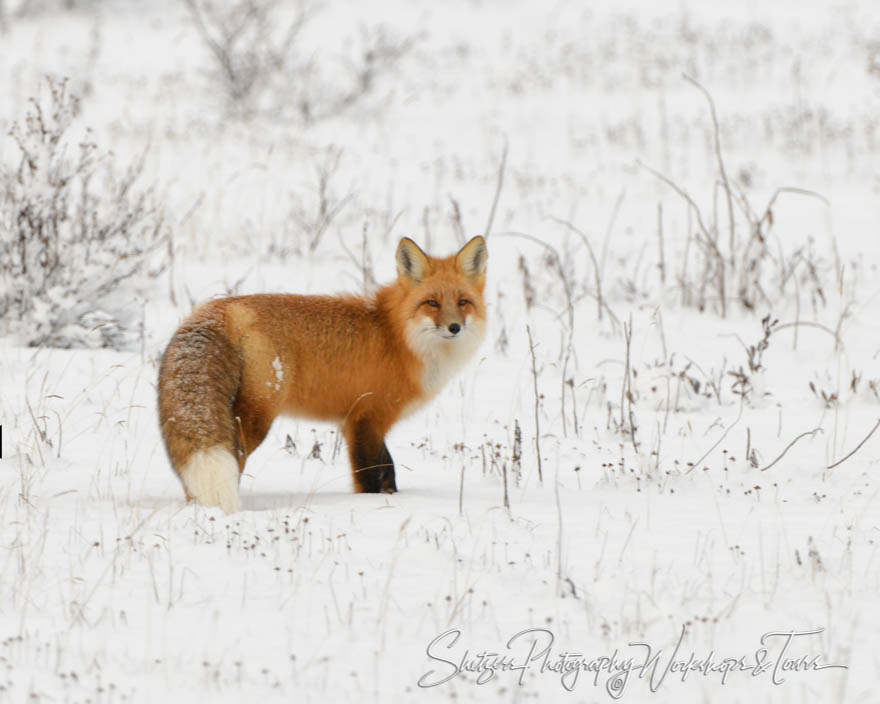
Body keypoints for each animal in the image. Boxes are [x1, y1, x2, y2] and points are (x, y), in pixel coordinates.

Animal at [158, 235, 488, 512]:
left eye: (462, 302)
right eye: (432, 303)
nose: (454, 327)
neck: (396, 336)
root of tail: (217, 310)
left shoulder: (361, 421)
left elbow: (388, 471)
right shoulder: (365, 420)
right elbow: (370, 476)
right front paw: (374, 506)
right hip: (255, 418)